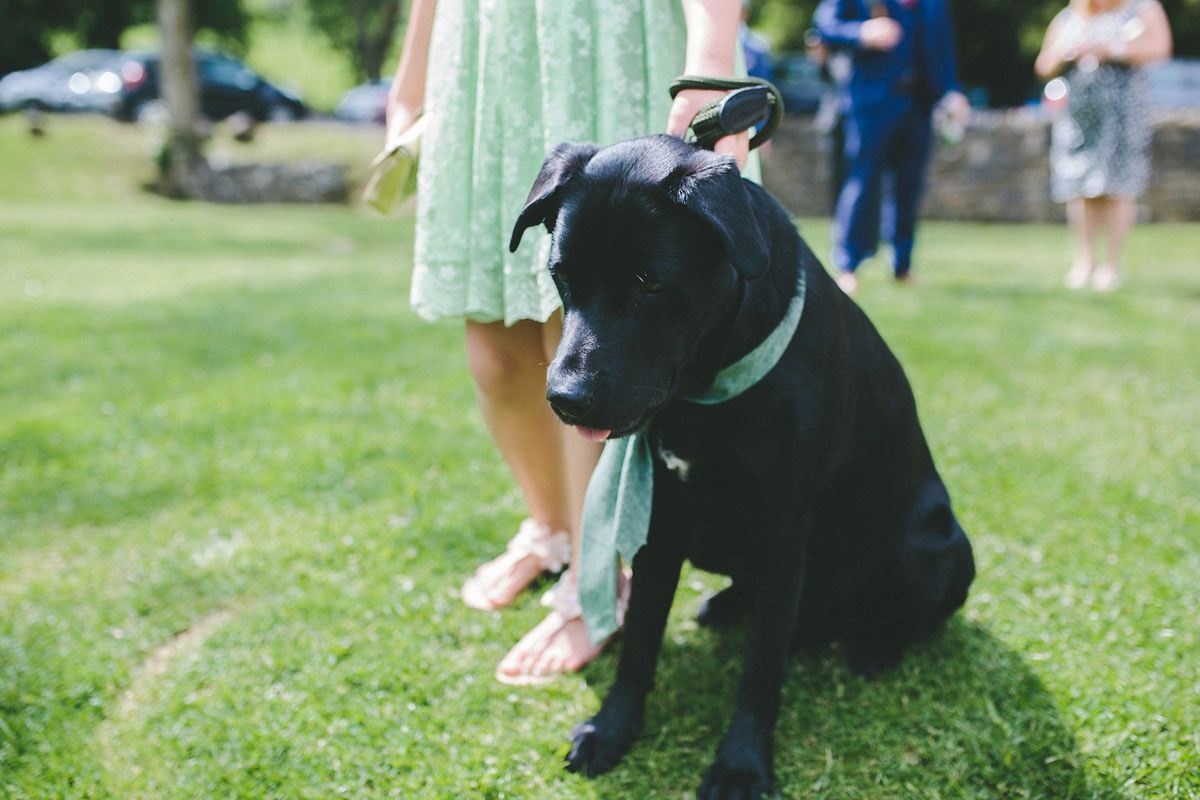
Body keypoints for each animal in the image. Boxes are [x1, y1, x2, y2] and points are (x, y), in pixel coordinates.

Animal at [508, 134, 974, 796]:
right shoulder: (661, 518)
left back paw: (872, 648)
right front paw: (612, 729)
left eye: (651, 283)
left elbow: (760, 671)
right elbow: (639, 644)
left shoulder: (783, 533)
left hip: (935, 543)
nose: (565, 399)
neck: (707, 382)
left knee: (903, 619)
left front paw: (742, 764)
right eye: (561, 277)